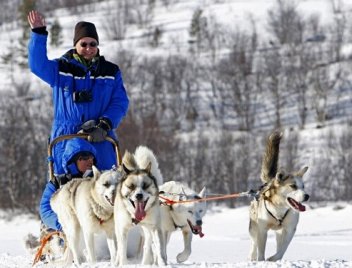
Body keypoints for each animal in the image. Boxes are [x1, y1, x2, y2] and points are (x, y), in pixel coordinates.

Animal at [249, 132, 310, 262]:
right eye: (293, 186)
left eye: (303, 186)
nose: (307, 196)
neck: (279, 209)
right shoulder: (262, 229)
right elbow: (260, 250)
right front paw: (261, 260)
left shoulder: (290, 229)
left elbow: (282, 249)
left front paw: (273, 259)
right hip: (253, 227)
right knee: (254, 244)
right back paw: (251, 257)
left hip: (279, 232)